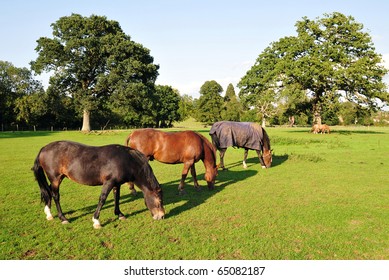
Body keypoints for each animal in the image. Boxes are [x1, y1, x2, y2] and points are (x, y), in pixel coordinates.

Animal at [31, 141, 163, 229]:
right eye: (159, 201)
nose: (161, 216)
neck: (125, 160)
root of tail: (44, 148)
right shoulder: (109, 182)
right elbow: (102, 199)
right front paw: (96, 221)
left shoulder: (116, 184)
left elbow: (117, 198)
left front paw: (119, 214)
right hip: (55, 179)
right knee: (55, 195)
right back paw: (63, 218)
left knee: (48, 191)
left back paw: (49, 213)